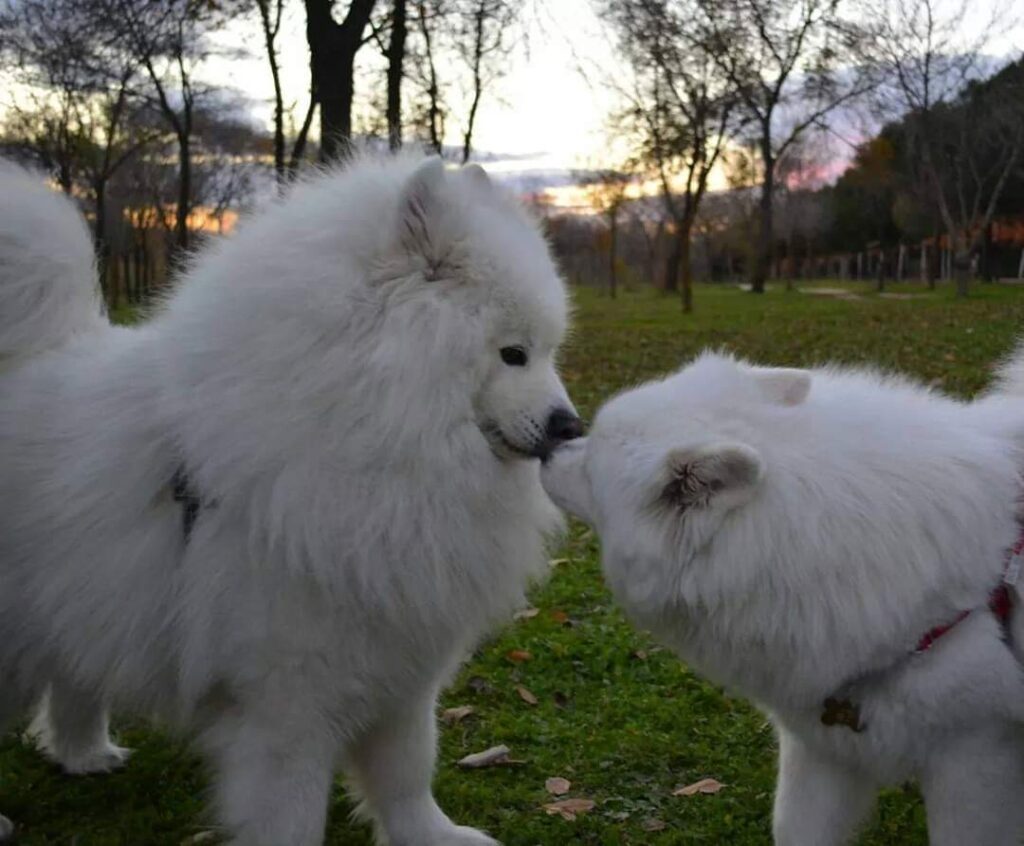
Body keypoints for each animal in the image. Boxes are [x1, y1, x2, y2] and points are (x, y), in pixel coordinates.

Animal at [0, 157, 581, 843]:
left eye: (548, 351)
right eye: (513, 353)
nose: (571, 425)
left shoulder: (403, 664)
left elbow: (408, 770)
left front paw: (433, 836)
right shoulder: (287, 700)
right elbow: (294, 811)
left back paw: (87, 754)